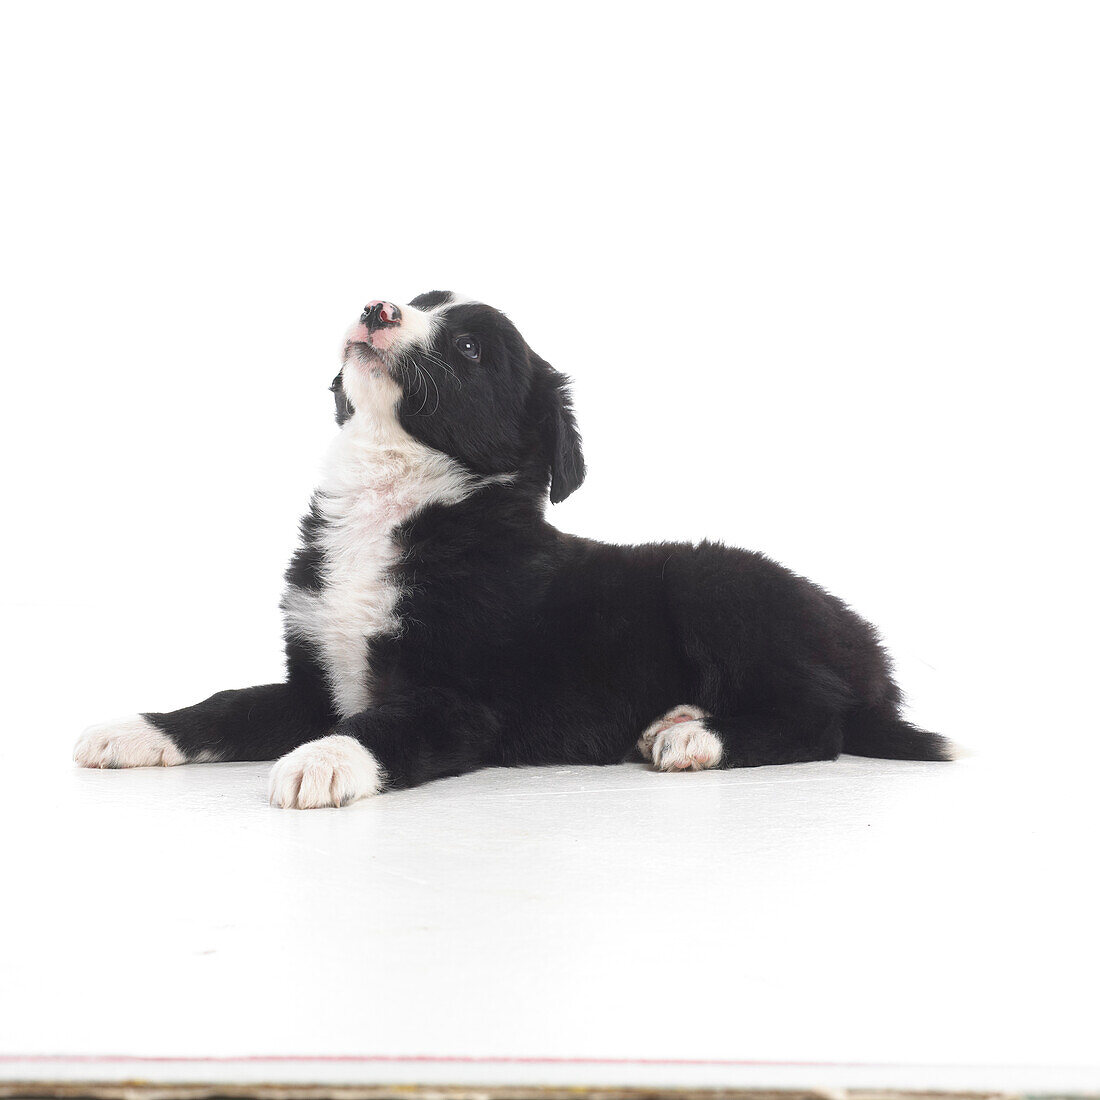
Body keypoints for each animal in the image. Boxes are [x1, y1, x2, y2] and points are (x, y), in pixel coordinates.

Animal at [75, 292, 954, 809]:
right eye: (419, 301)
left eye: (470, 349)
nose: (377, 306)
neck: (395, 502)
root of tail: (872, 654)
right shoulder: (318, 679)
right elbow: (229, 703)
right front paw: (136, 731)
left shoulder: (462, 699)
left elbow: (383, 728)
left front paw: (322, 761)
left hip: (718, 583)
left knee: (817, 716)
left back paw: (695, 737)